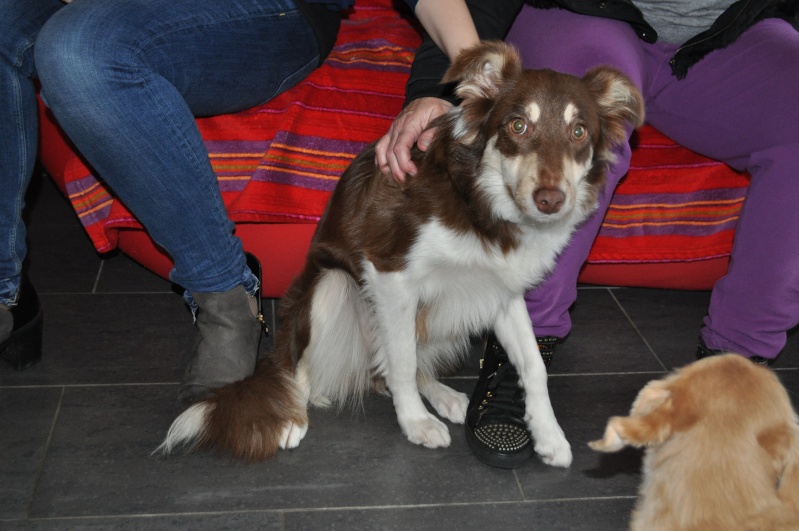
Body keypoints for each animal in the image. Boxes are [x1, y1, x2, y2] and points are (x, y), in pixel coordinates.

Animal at [158, 41, 644, 466]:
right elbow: (403, 361)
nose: (550, 200)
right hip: (332, 285)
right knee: (306, 369)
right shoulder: (389, 273)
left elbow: (532, 364)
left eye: (579, 132)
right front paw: (415, 424)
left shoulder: (500, 290)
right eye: (518, 126)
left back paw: (446, 396)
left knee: (388, 365)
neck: (481, 201)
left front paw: (549, 435)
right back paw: (293, 412)